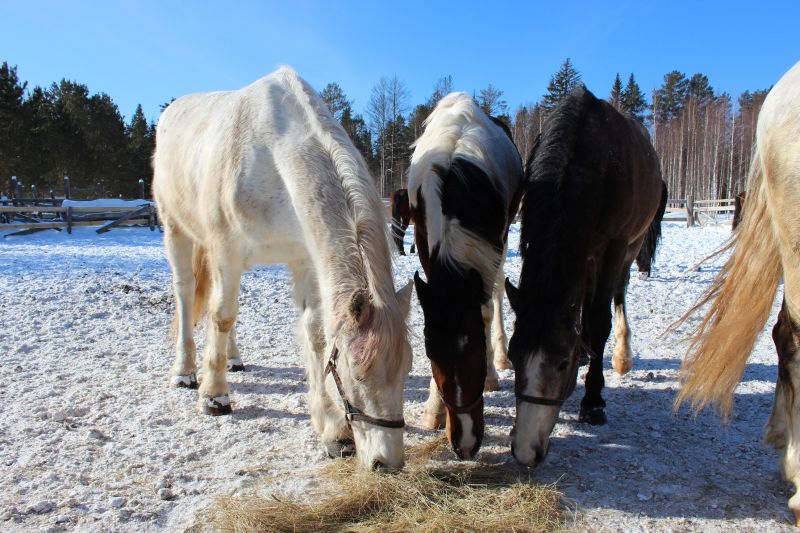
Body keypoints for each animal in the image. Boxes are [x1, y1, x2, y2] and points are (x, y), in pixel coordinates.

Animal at [152, 66, 412, 470]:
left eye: (408, 369)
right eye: (358, 373)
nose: (388, 463)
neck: (273, 155)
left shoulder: (304, 260)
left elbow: (315, 333)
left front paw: (333, 431)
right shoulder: (226, 252)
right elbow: (221, 316)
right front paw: (214, 397)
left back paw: (234, 359)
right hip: (176, 229)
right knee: (187, 293)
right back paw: (185, 372)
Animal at [406, 91, 524, 458]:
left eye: (476, 354)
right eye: (432, 356)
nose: (466, 444)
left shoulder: (491, 245)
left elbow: (484, 311)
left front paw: (490, 372)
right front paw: (433, 411)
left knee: (498, 292)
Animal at [506, 85, 668, 464]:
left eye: (561, 363)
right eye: (512, 355)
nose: (525, 451)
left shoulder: (614, 246)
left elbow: (599, 322)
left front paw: (593, 401)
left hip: (627, 249)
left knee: (617, 295)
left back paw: (621, 355)